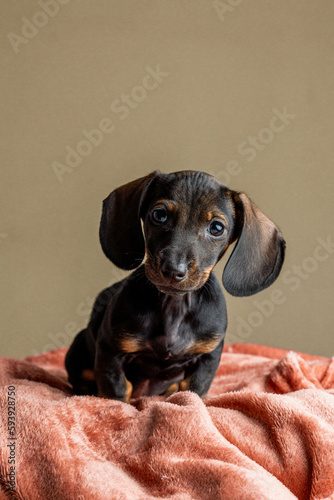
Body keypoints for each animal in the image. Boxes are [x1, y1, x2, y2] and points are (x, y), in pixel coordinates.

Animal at [65, 172, 284, 402]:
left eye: (217, 228)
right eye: (159, 215)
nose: (173, 269)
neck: (174, 306)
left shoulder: (208, 358)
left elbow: (194, 390)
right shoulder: (110, 350)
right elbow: (116, 391)